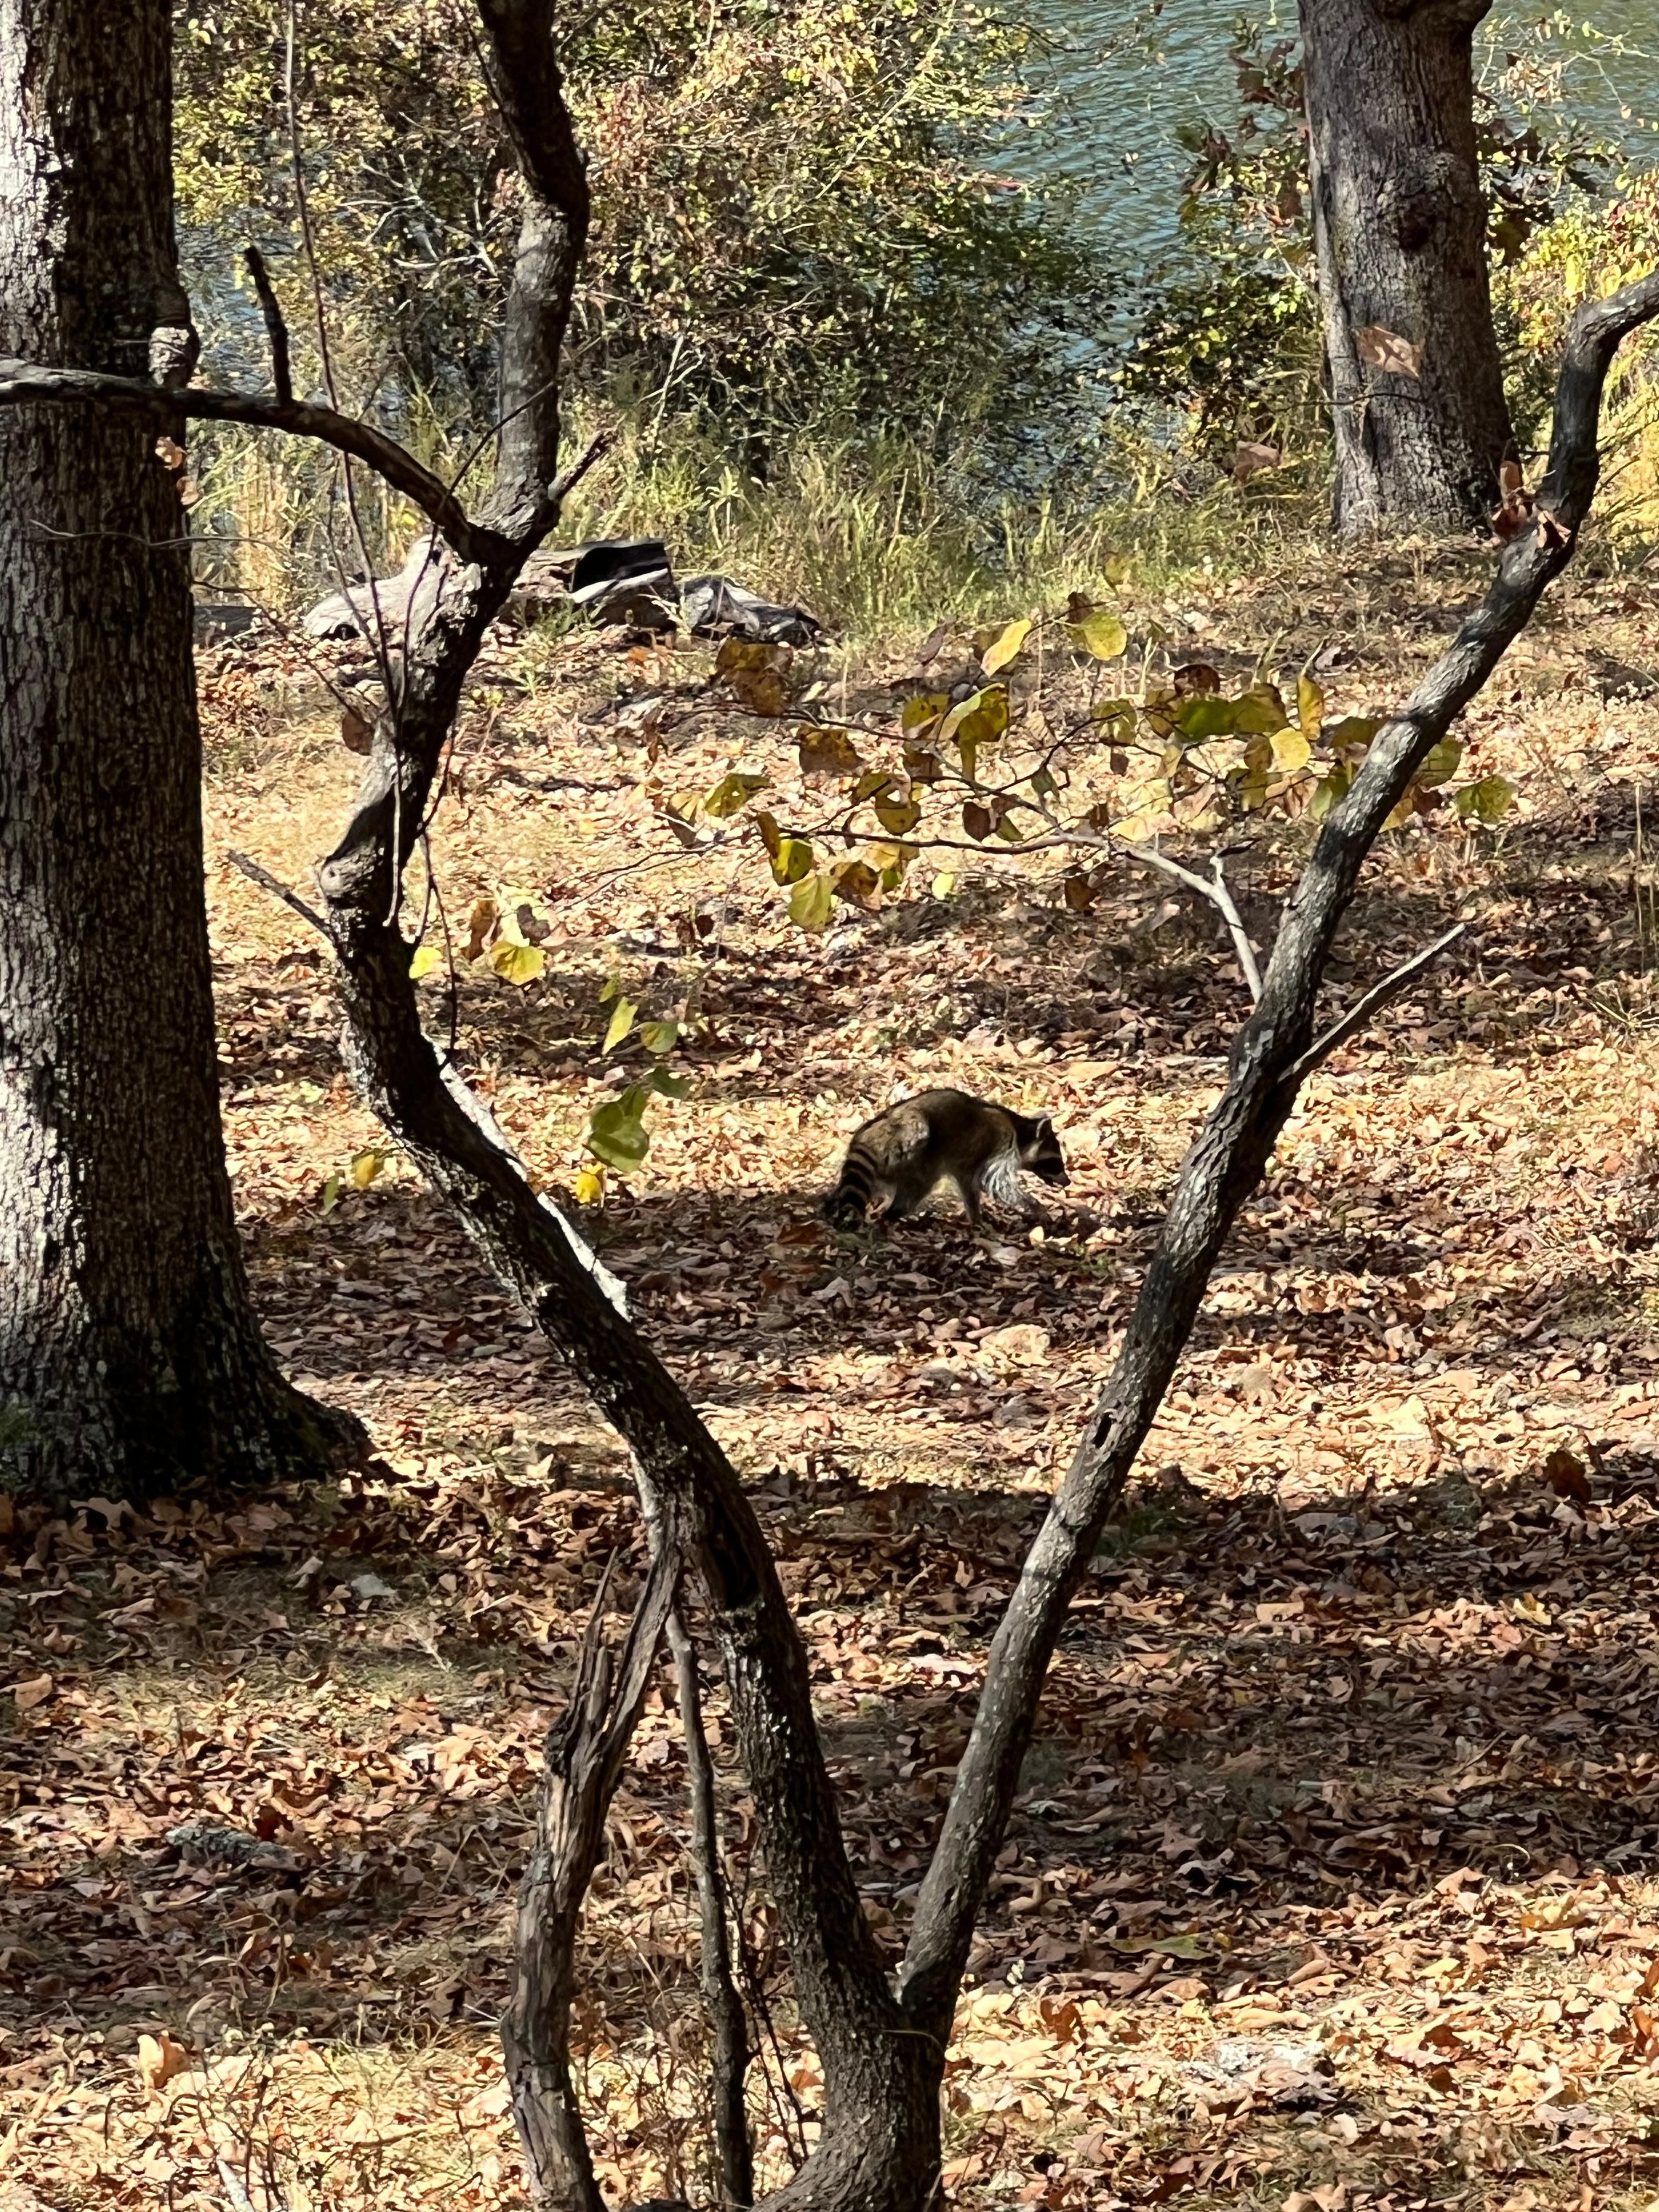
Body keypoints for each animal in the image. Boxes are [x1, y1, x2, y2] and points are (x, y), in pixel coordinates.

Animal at [827, 1084, 1070, 1229]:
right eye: (1055, 1161)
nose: (1067, 1181)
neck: (1020, 1130)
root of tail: (872, 1134)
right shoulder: (998, 1147)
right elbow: (992, 1183)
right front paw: (1031, 1206)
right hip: (912, 1150)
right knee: (918, 1183)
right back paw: (894, 1214)